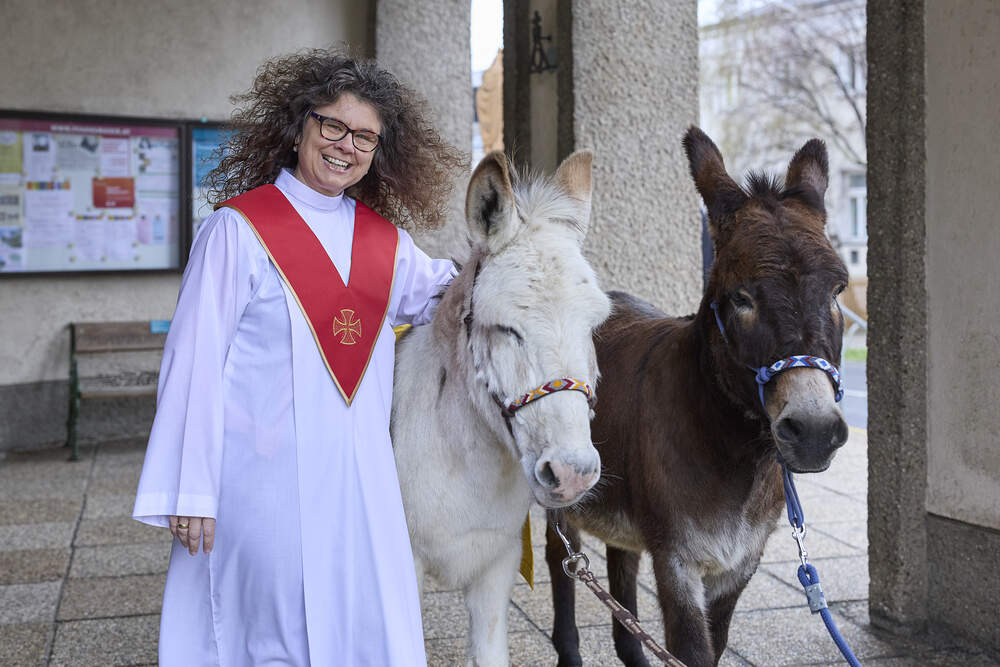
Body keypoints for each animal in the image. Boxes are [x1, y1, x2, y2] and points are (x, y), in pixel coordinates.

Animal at [545, 127, 851, 667]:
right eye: (740, 298)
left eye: (838, 290)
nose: (815, 431)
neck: (738, 456)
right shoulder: (677, 562)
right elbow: (691, 650)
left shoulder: (739, 565)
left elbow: (715, 642)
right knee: (562, 562)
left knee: (621, 571)